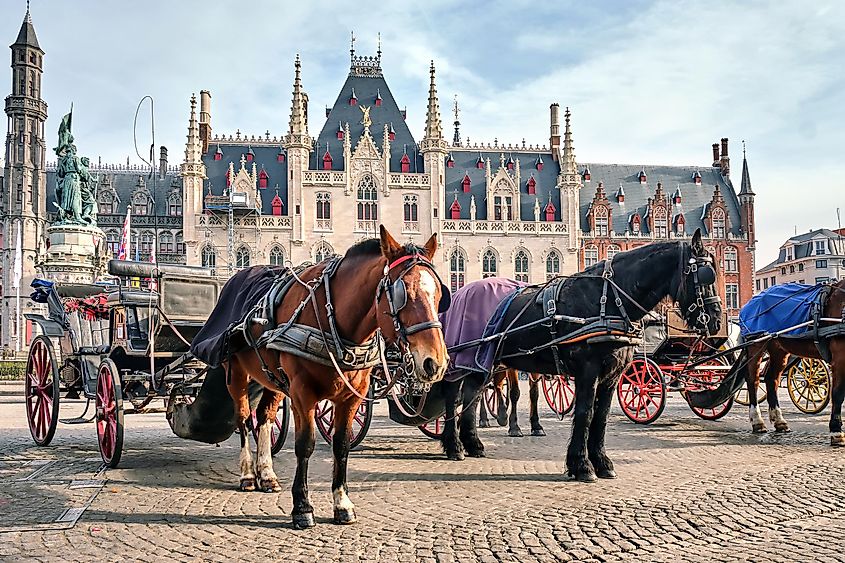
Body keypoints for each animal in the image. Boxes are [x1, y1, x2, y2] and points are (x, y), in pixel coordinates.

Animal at [224, 226, 448, 528]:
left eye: (438, 294)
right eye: (404, 293)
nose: (436, 362)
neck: (338, 324)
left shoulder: (351, 397)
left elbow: (341, 445)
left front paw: (342, 503)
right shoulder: (302, 393)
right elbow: (304, 445)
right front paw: (302, 507)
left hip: (272, 380)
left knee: (265, 418)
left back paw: (267, 475)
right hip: (236, 373)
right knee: (244, 419)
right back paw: (248, 474)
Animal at [394, 229, 720, 480]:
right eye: (703, 274)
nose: (716, 320)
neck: (607, 299)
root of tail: (459, 292)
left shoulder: (612, 376)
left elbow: (601, 417)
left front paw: (602, 463)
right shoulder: (588, 371)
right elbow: (585, 414)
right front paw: (582, 465)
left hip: (482, 362)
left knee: (471, 397)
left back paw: (472, 444)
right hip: (461, 359)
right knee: (453, 395)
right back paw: (453, 446)